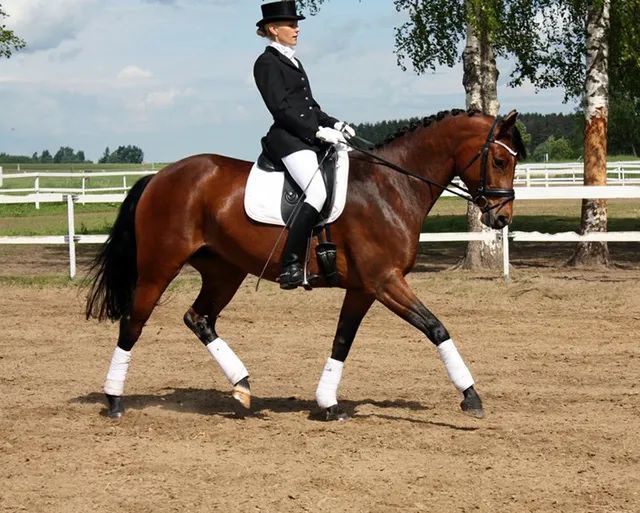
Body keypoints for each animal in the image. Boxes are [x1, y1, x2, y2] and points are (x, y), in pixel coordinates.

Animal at [85, 108, 526, 421]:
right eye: (499, 161)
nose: (502, 218)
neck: (391, 187)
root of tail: (160, 176)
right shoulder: (385, 281)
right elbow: (436, 328)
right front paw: (471, 397)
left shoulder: (364, 288)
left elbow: (342, 341)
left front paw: (328, 403)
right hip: (159, 267)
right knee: (133, 322)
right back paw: (114, 400)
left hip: (225, 271)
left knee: (199, 318)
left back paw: (242, 386)